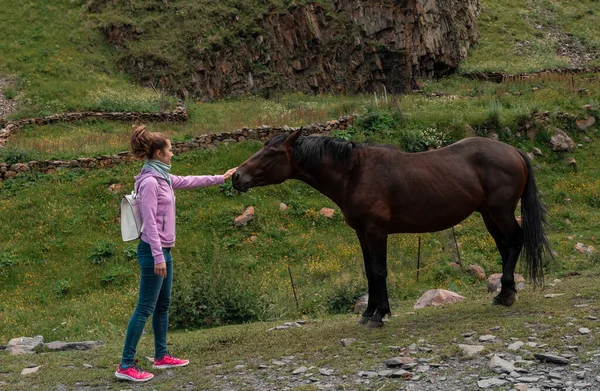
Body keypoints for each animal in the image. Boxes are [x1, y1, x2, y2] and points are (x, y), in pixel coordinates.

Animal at [232, 131, 552, 328]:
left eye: (271, 153)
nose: (237, 177)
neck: (355, 172)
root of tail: (513, 151)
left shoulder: (376, 231)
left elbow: (379, 271)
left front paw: (378, 315)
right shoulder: (361, 233)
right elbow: (369, 272)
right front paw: (369, 312)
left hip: (500, 212)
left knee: (515, 242)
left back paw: (507, 294)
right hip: (488, 215)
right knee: (506, 247)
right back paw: (503, 294)